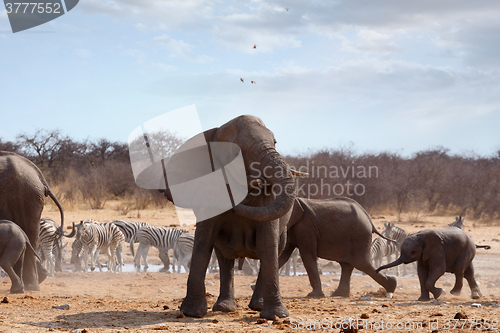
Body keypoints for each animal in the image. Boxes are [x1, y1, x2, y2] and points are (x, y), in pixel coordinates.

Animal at [0, 152, 68, 290]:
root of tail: (40, 176)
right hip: (29, 196)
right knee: (30, 234)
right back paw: (36, 282)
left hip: (23, 194)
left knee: (27, 231)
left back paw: (30, 286)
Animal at [156, 115, 296, 320]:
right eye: (235, 153)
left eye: (275, 142)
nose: (257, 181)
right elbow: (203, 243)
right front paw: (191, 313)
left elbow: (267, 243)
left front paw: (276, 315)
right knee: (224, 258)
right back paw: (224, 308)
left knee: (274, 250)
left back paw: (257, 306)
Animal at [260, 197, 396, 298]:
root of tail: (368, 218)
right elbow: (284, 255)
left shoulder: (306, 227)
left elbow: (307, 254)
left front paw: (314, 295)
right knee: (347, 264)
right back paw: (339, 294)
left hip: (359, 235)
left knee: (361, 263)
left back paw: (392, 285)